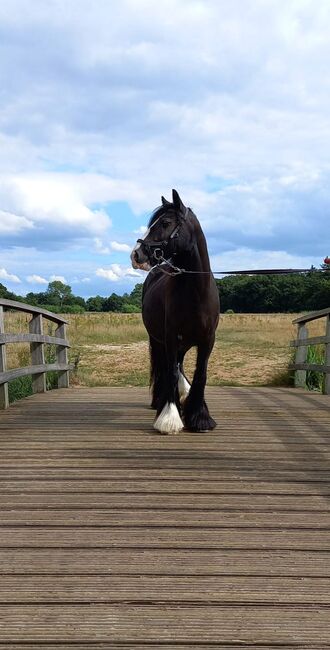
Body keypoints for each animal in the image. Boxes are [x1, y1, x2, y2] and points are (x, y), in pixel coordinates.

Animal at [131, 190, 219, 432]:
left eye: (165, 223)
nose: (136, 255)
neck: (196, 292)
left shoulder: (207, 340)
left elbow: (200, 374)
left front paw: (199, 416)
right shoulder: (170, 337)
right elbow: (169, 371)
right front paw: (169, 417)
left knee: (179, 364)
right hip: (159, 340)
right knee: (166, 367)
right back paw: (160, 402)